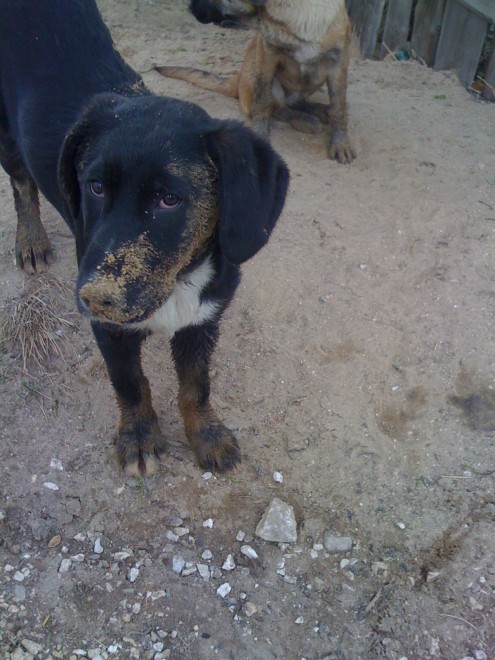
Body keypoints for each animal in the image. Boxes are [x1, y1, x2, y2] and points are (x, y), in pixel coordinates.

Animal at [0, 0, 288, 474]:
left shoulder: (203, 319)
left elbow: (197, 385)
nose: (94, 297)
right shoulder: (109, 329)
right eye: (96, 187)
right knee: (23, 183)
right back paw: (32, 241)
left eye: (169, 200)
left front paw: (206, 436)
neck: (179, 280)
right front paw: (138, 437)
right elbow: (130, 382)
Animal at [157, 0, 354, 164]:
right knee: (278, 108)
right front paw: (260, 136)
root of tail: (237, 80)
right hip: (267, 80)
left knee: (298, 102)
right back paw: (303, 119)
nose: (189, 7)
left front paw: (340, 144)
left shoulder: (339, 64)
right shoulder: (266, 56)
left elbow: (339, 107)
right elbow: (262, 103)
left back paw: (317, 110)